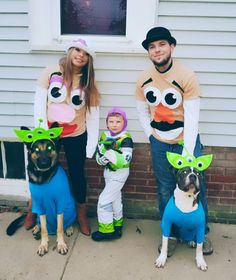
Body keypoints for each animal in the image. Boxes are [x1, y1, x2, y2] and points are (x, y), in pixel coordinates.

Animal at [6, 123, 76, 258]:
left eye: (49, 147)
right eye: (36, 150)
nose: (44, 163)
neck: (43, 177)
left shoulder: (60, 203)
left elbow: (60, 227)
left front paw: (61, 244)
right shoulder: (40, 205)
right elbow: (44, 229)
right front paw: (43, 245)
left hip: (70, 207)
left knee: (68, 222)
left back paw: (69, 228)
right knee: (39, 223)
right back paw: (36, 228)